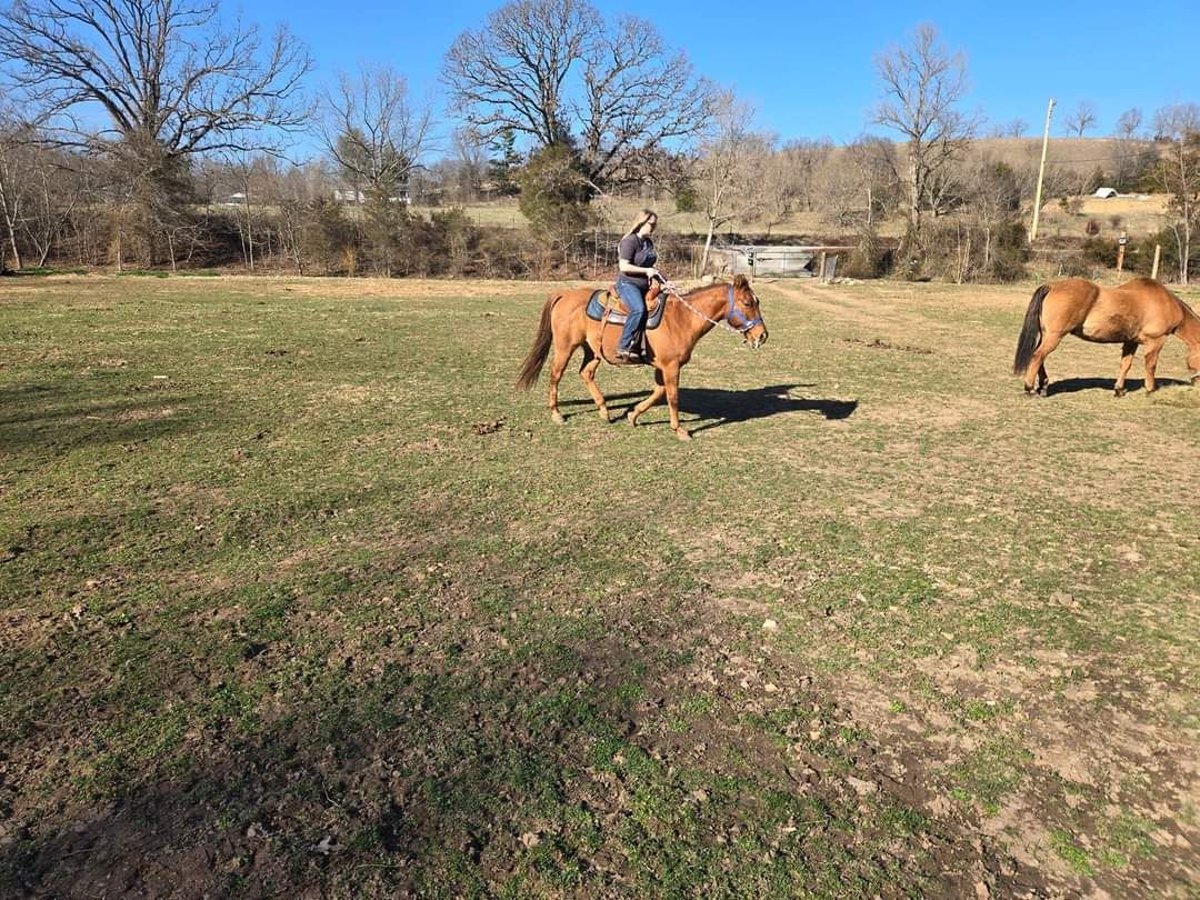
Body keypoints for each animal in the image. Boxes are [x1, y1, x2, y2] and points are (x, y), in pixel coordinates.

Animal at [511, 277, 763, 441]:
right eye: (748, 303)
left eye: (757, 301)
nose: (762, 335)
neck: (682, 318)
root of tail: (564, 294)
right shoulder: (671, 367)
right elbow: (672, 397)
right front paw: (679, 430)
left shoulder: (662, 367)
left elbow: (659, 392)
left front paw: (633, 415)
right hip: (566, 347)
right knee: (556, 375)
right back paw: (557, 414)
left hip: (593, 351)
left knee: (586, 373)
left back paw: (604, 411)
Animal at [1012, 278, 1200, 398]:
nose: (1196, 384)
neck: (1166, 303)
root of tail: (1052, 286)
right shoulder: (1156, 341)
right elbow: (1151, 366)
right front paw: (1150, 390)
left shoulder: (1130, 342)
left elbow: (1125, 365)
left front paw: (1119, 390)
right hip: (1054, 336)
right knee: (1038, 356)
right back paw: (1030, 389)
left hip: (1046, 335)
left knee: (1039, 357)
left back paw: (1042, 387)